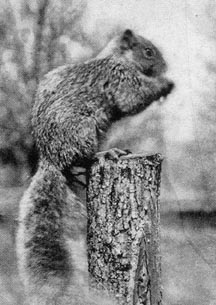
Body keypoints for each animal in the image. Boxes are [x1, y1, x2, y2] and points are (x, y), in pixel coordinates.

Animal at [16, 29, 175, 304]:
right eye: (148, 51)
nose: (165, 67)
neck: (118, 58)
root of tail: (49, 158)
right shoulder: (120, 78)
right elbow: (133, 98)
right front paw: (165, 84)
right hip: (83, 129)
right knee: (82, 156)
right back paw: (106, 153)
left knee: (74, 165)